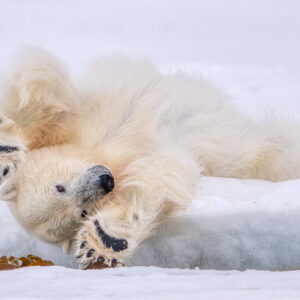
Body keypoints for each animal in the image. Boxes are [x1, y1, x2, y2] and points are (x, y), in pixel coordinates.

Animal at [0, 48, 300, 268]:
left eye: (59, 187)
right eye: (81, 212)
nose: (105, 181)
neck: (101, 153)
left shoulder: (79, 119)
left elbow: (43, 82)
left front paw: (6, 153)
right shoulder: (153, 155)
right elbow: (159, 179)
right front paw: (104, 240)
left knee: (279, 146)